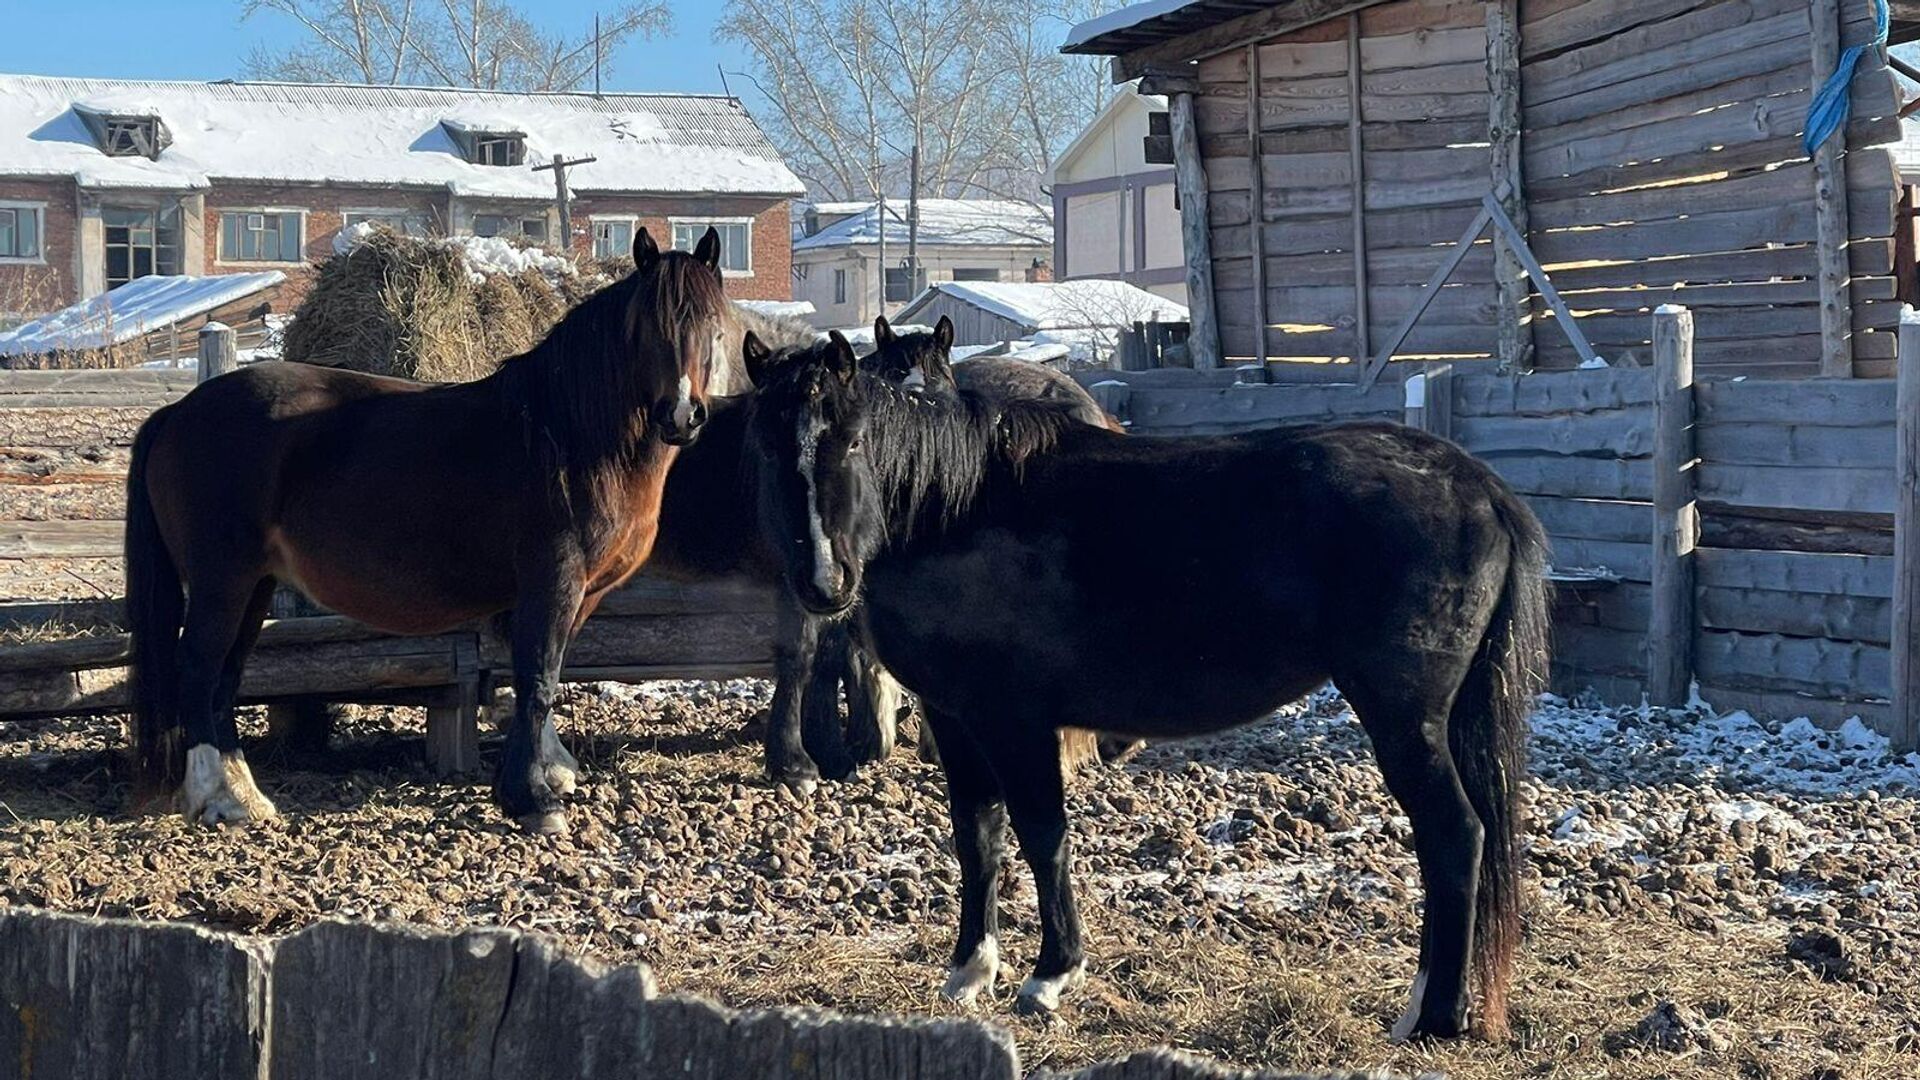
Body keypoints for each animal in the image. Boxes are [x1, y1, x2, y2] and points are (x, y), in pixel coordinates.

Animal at [123, 228, 729, 834]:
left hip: (254, 585)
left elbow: (540, 678)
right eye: (647, 326)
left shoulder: (581, 594)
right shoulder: (554, 581)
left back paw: (243, 796)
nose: (682, 415)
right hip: (222, 580)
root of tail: (178, 413)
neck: (566, 435)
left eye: (714, 328)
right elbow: (537, 680)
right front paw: (532, 798)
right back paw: (218, 795)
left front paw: (550, 769)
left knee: (224, 678)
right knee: (197, 670)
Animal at [741, 342, 1551, 1037]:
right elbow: (979, 839)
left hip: (1403, 716)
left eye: (852, 442)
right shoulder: (957, 720)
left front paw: (1051, 976)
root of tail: (1479, 487)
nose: (824, 584)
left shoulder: (1014, 721)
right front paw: (971, 971)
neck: (953, 508)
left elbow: (1043, 836)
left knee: (1455, 835)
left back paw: (1435, 1019)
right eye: (769, 450)